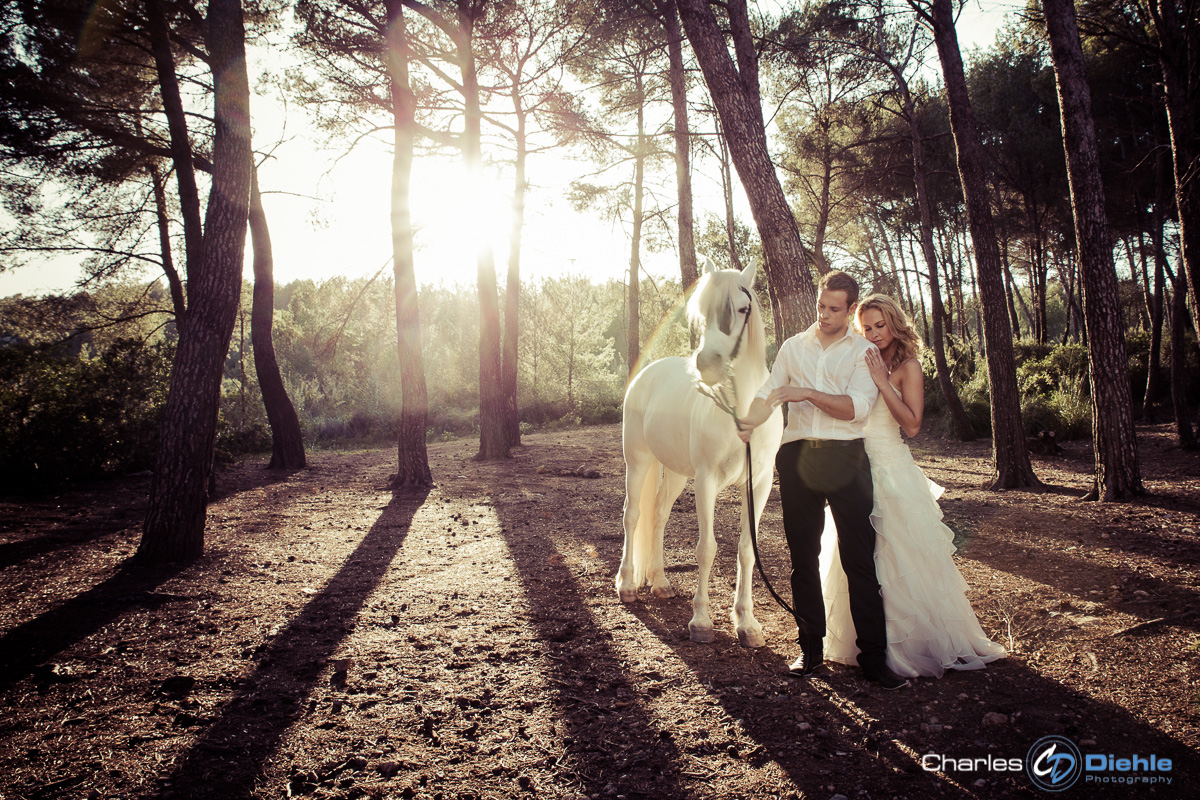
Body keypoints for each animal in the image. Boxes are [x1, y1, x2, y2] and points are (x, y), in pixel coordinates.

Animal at [619, 260, 787, 647]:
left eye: (741, 308)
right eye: (698, 313)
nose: (707, 365)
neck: (743, 411)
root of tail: (646, 373)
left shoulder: (758, 484)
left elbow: (746, 550)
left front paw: (747, 623)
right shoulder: (707, 480)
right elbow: (706, 548)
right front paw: (701, 621)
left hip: (676, 472)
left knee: (658, 515)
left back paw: (661, 582)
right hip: (639, 462)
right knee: (633, 515)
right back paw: (627, 584)